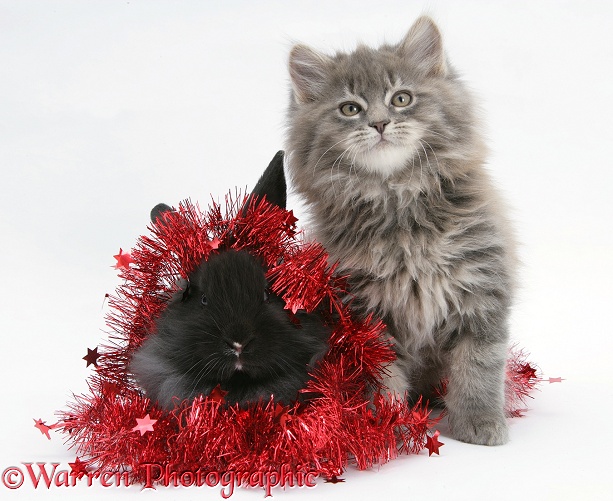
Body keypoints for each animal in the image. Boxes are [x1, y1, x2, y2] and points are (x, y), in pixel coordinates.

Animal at [284, 16, 512, 446]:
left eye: (401, 99)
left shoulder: (481, 284)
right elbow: (382, 376)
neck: (398, 201)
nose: (379, 123)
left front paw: (480, 421)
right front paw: (384, 426)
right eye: (350, 108)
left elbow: (478, 364)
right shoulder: (366, 314)